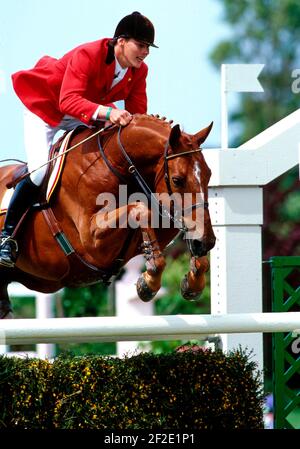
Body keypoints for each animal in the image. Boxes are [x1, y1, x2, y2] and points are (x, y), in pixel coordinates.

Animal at [0, 114, 216, 316]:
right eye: (177, 180)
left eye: (209, 175)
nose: (207, 242)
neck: (115, 164)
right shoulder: (92, 243)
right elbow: (139, 210)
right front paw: (148, 282)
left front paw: (193, 280)